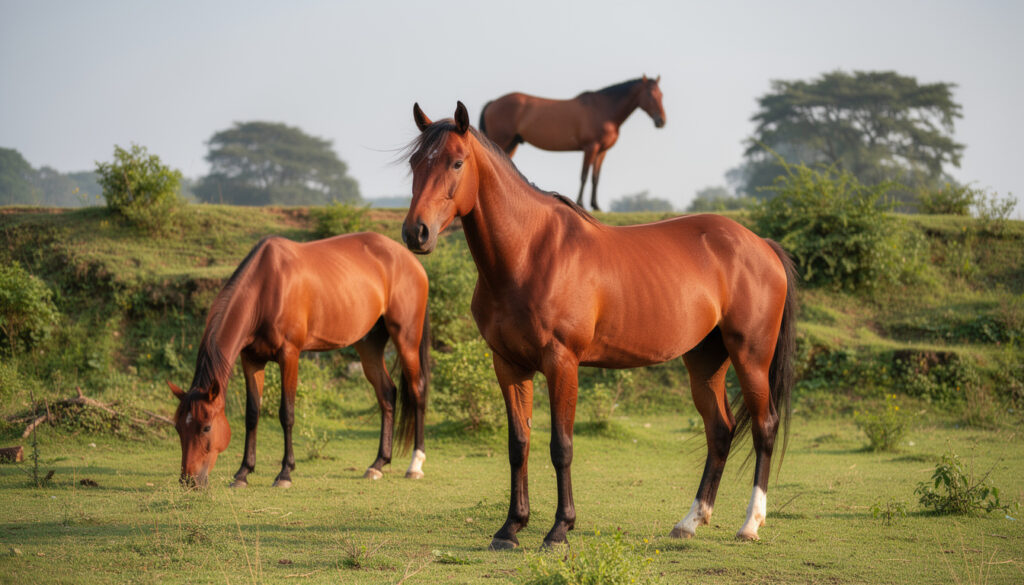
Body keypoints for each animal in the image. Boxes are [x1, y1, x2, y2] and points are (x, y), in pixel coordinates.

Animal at [168, 232, 431, 488]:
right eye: (179, 427)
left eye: (206, 427)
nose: (188, 481)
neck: (266, 288)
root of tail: (411, 260)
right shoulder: (251, 360)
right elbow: (252, 414)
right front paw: (243, 472)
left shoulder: (290, 355)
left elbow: (287, 413)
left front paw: (285, 473)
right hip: (369, 344)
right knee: (387, 393)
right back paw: (378, 464)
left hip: (406, 339)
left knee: (417, 390)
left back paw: (415, 465)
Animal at [402, 102, 797, 550]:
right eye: (415, 162)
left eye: (456, 162)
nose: (416, 232)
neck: (530, 253)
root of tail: (763, 245)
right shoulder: (508, 365)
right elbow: (518, 444)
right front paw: (510, 528)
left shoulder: (562, 364)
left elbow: (561, 446)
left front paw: (559, 529)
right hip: (706, 360)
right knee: (720, 431)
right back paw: (690, 521)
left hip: (751, 357)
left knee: (764, 428)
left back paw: (751, 523)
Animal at [478, 75, 666, 211]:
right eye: (650, 95)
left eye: (661, 95)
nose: (661, 121)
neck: (603, 109)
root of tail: (493, 102)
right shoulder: (590, 148)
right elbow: (583, 175)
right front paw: (581, 203)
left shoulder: (602, 151)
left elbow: (595, 177)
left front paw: (596, 206)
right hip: (502, 140)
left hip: (512, 143)